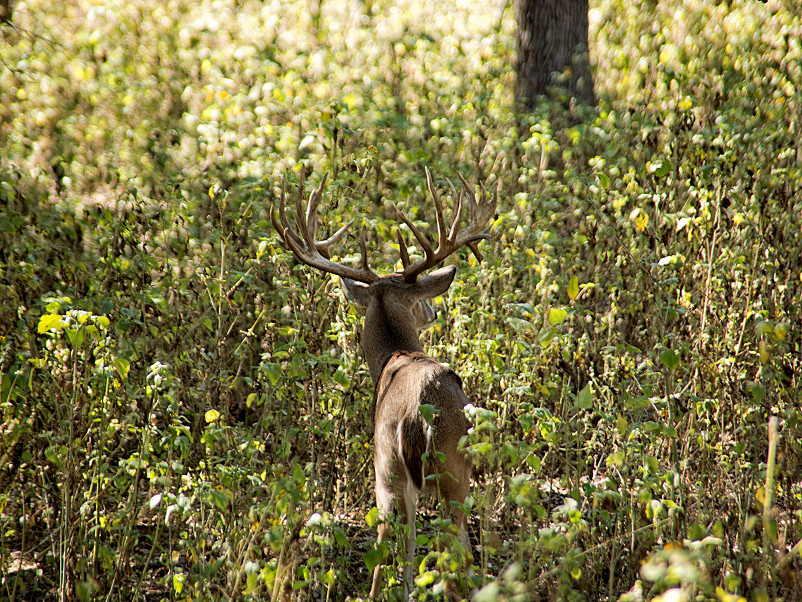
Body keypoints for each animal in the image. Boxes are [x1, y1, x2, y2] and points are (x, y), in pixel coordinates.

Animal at [270, 166, 494, 596]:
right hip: (436, 469)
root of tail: (418, 417)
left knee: (392, 545)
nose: (433, 312)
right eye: (419, 299)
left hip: (391, 471)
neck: (396, 355)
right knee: (443, 549)